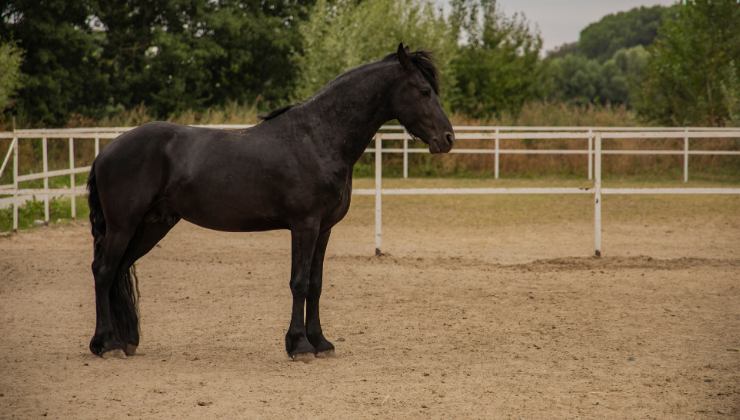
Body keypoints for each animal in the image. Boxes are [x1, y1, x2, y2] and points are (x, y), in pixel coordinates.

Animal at [87, 43, 454, 360]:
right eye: (424, 91)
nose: (448, 138)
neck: (318, 137)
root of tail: (107, 151)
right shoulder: (304, 226)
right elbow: (299, 282)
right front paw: (299, 346)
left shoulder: (324, 229)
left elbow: (316, 284)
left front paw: (321, 342)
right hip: (123, 226)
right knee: (103, 271)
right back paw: (106, 344)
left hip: (151, 226)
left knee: (117, 271)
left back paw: (123, 341)